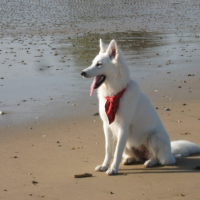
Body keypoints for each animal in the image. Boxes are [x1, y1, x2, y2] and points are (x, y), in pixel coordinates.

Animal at [81, 39, 200, 175]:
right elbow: (109, 150)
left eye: (99, 64)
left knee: (159, 159)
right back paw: (129, 159)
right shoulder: (107, 126)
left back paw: (150, 162)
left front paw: (113, 168)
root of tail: (171, 153)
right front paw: (105, 165)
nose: (82, 73)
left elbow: (117, 152)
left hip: (155, 136)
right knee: (136, 157)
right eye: (93, 63)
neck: (115, 95)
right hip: (129, 143)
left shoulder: (123, 128)